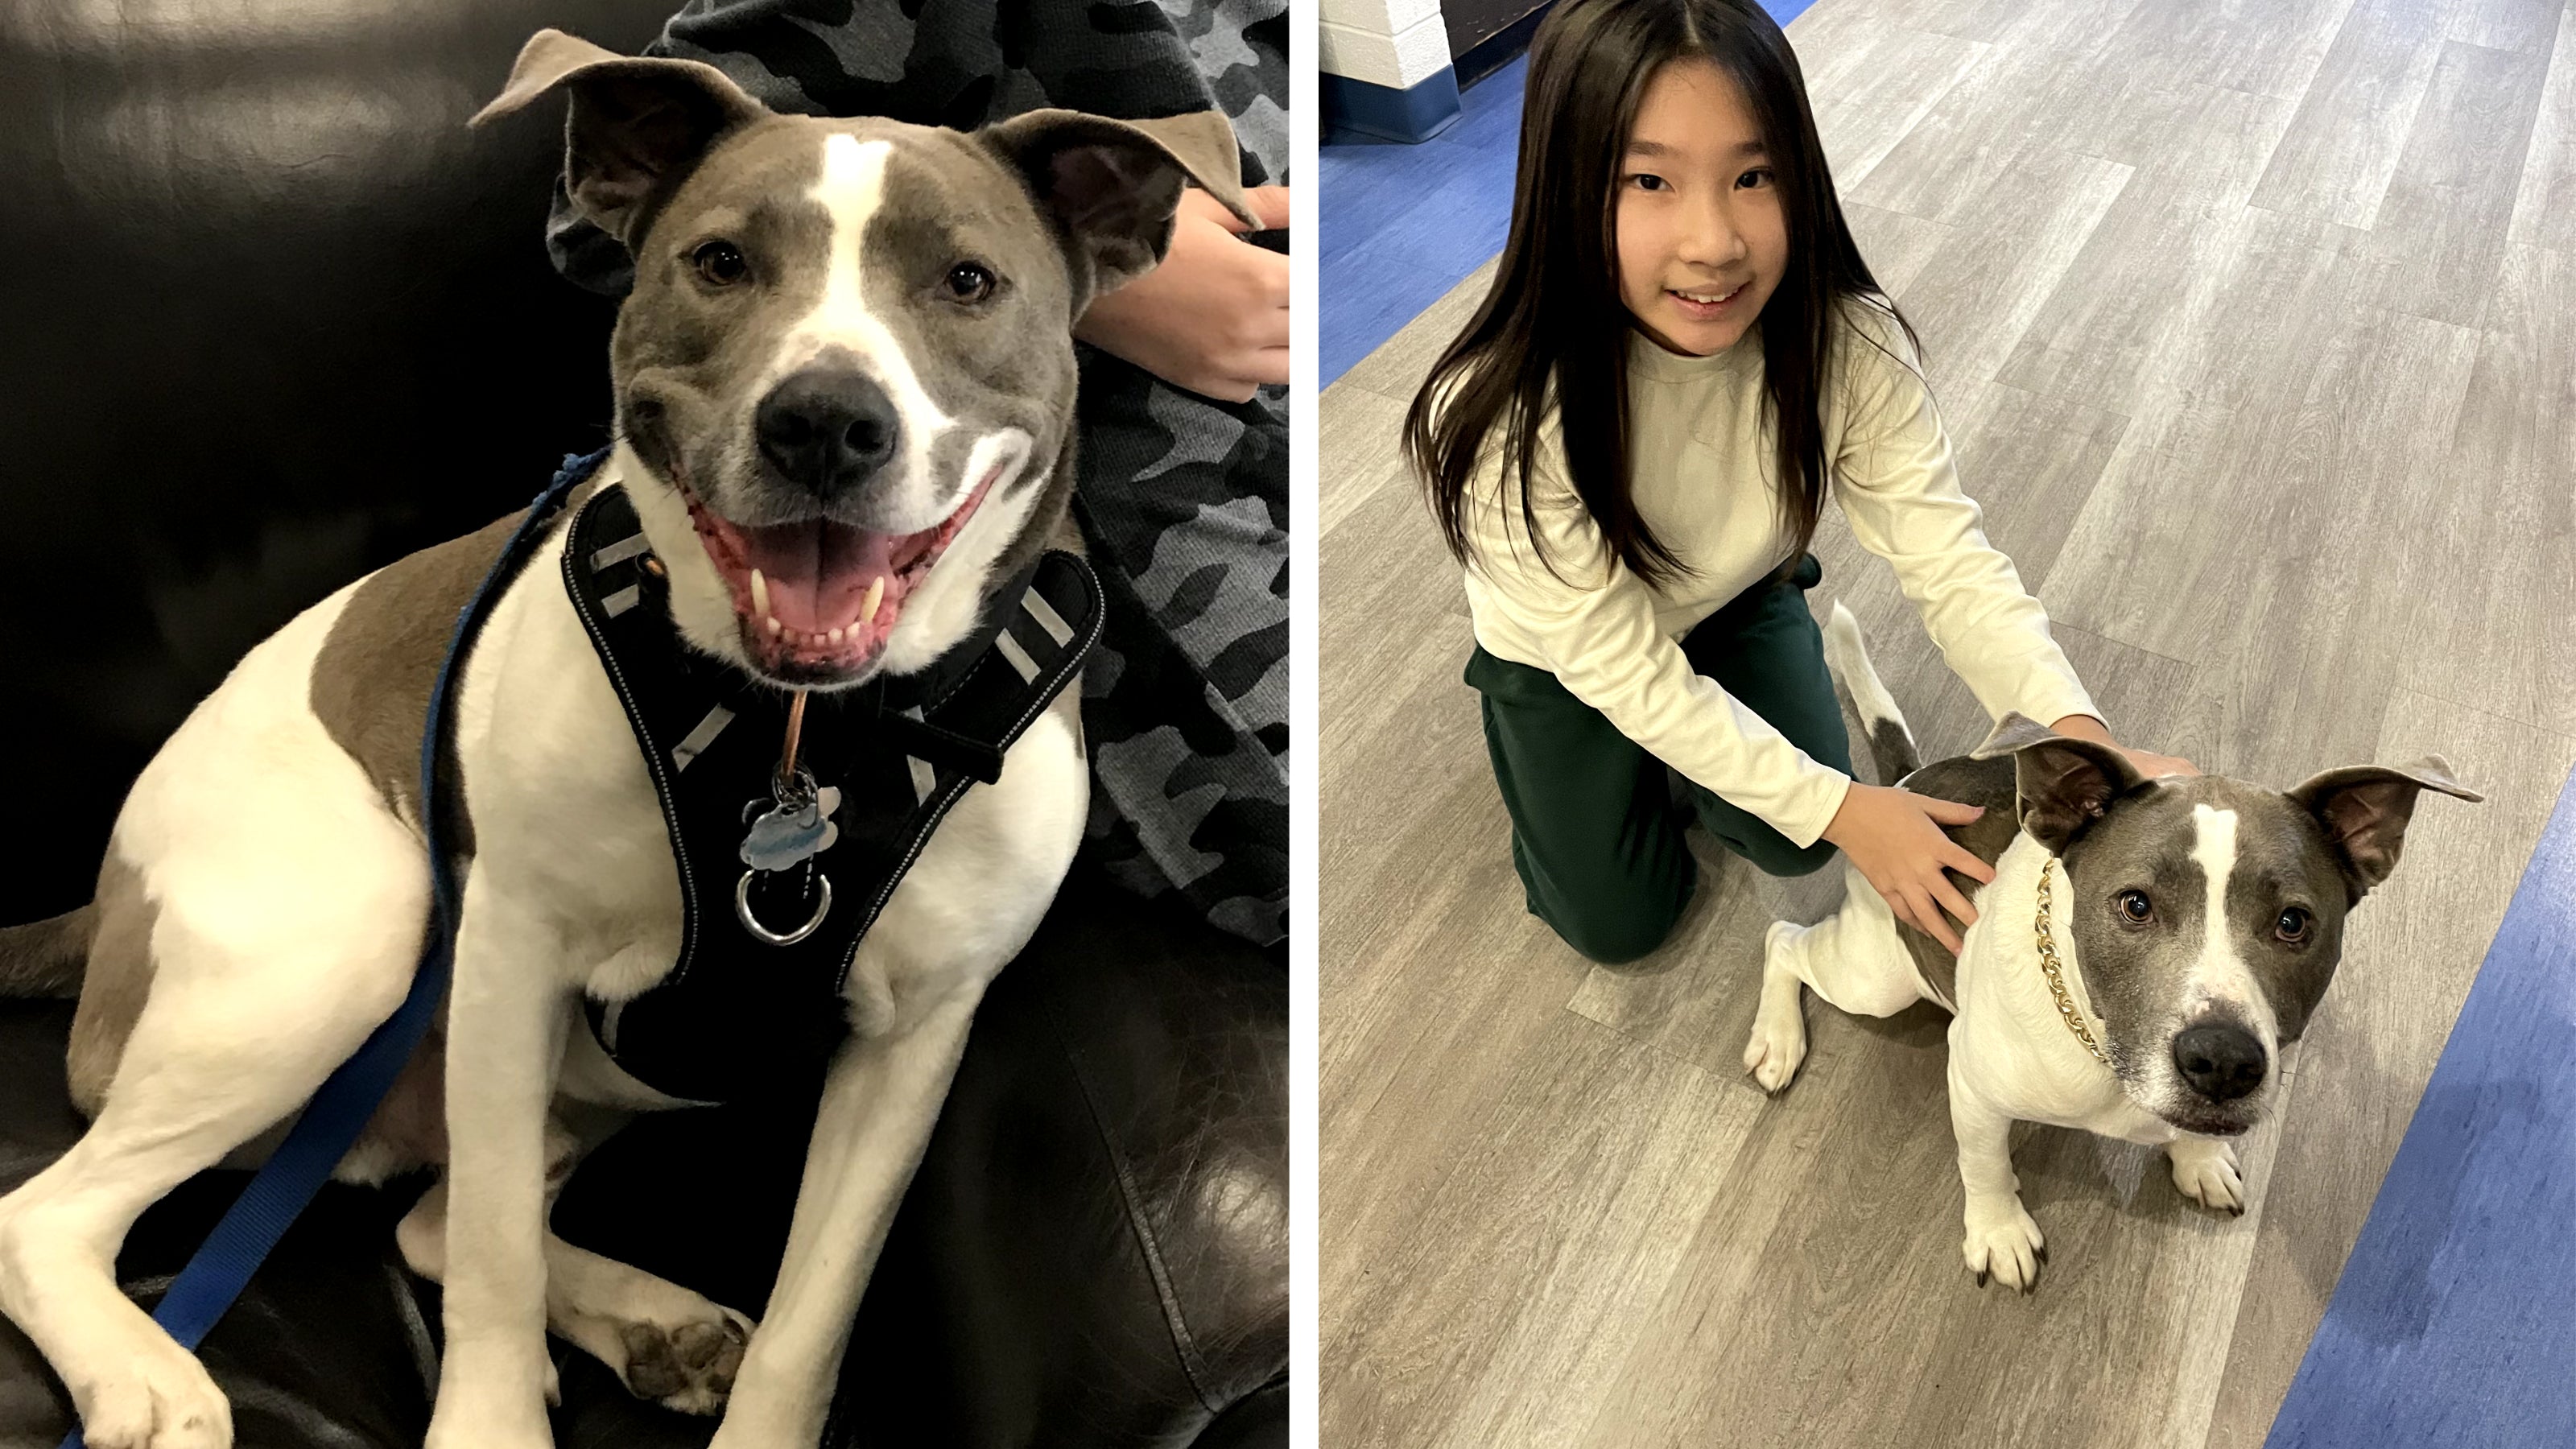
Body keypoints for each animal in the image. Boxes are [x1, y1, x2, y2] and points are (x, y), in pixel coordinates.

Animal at [0, 25, 1257, 1443]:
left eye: (969, 282)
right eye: (720, 263)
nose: (825, 422)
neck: (797, 740)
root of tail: (98, 908)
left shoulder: (914, 1045)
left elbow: (812, 1317)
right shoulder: (510, 957)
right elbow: (494, 1267)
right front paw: (490, 1425)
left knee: (427, 1220)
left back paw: (652, 1325)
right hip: (345, 948)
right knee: (51, 1214)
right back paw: (145, 1375)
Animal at [1741, 598, 2483, 1284]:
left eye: (2294, 922)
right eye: (2135, 905)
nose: (2223, 1062)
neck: (2101, 1047)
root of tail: (1907, 786)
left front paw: (2199, 1159)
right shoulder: (1973, 1086)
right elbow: (1982, 1161)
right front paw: (1998, 1229)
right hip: (1877, 979)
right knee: (1783, 940)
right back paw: (1778, 1040)